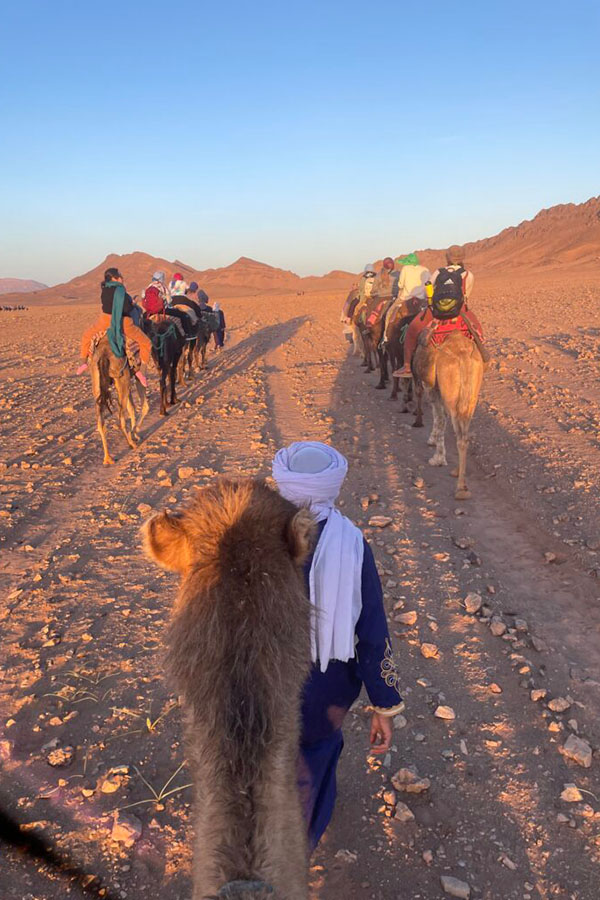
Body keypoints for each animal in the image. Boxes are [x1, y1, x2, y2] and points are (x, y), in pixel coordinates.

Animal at [90, 336, 149, 464]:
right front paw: (135, 433)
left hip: (98, 385)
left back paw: (108, 458)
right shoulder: (139, 372)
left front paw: (134, 434)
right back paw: (131, 444)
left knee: (100, 423)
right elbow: (145, 407)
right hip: (122, 379)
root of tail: (104, 355)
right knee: (120, 418)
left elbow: (132, 408)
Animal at [410, 330, 486, 500]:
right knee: (464, 434)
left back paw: (460, 488)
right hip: (471, 396)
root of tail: (464, 357)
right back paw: (459, 474)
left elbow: (439, 418)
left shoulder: (433, 389)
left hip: (451, 395)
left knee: (459, 435)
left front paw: (437, 457)